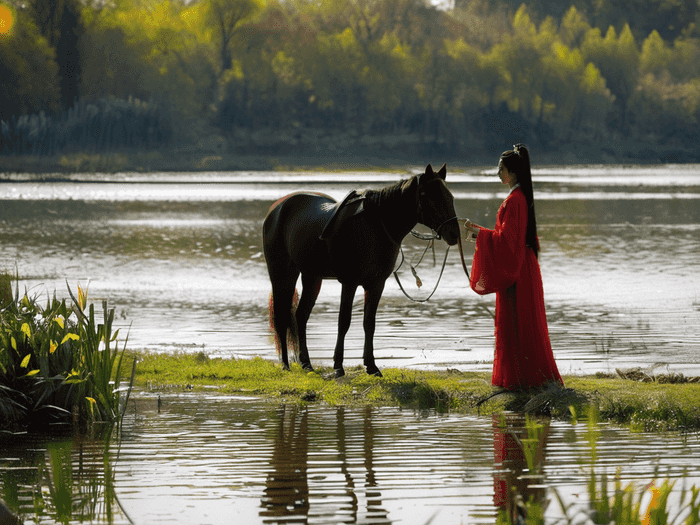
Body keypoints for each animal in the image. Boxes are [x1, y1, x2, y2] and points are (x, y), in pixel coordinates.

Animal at [262, 164, 460, 376]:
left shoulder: (376, 284)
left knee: (301, 315)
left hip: (312, 277)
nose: (454, 234)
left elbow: (369, 323)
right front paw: (338, 365)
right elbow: (344, 321)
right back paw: (285, 363)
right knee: (281, 316)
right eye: (432, 196)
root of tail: (276, 208)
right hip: (282, 274)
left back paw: (306, 363)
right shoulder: (349, 283)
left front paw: (371, 365)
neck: (375, 226)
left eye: (450, 196)